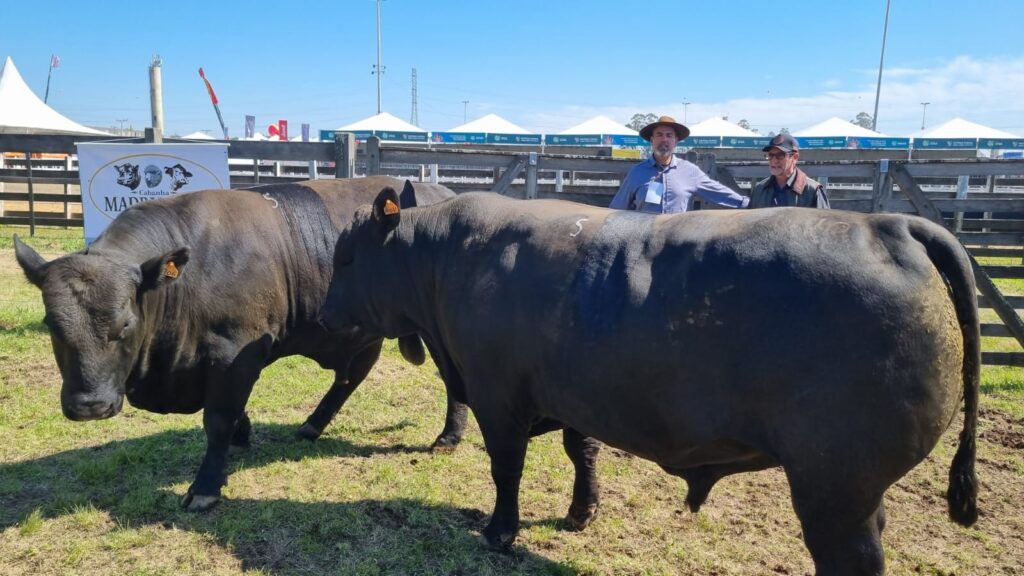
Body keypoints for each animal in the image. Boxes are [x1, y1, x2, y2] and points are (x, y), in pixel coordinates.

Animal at [14, 177, 468, 508]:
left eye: (125, 324)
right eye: (51, 324)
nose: (90, 406)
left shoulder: (236, 351)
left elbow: (217, 419)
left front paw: (205, 487)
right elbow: (233, 413)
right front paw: (243, 432)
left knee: (452, 381)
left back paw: (449, 436)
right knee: (351, 376)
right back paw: (312, 424)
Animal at [323, 187, 978, 569]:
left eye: (346, 259)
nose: (326, 315)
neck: (449, 255)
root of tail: (891, 225)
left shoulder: (496, 393)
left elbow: (505, 468)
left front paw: (500, 532)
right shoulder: (577, 391)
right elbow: (581, 449)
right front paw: (581, 512)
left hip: (835, 483)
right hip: (856, 486)